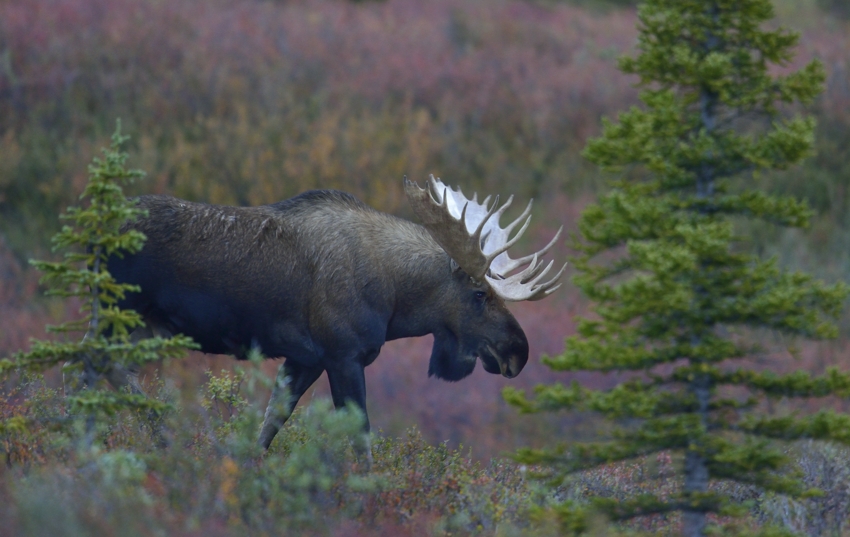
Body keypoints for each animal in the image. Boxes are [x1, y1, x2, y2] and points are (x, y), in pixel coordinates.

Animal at [99, 176, 564, 448]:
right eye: (479, 294)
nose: (518, 351)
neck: (395, 300)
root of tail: (94, 234)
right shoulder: (344, 356)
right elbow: (361, 443)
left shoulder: (305, 359)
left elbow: (268, 427)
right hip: (117, 312)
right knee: (95, 366)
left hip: (144, 326)